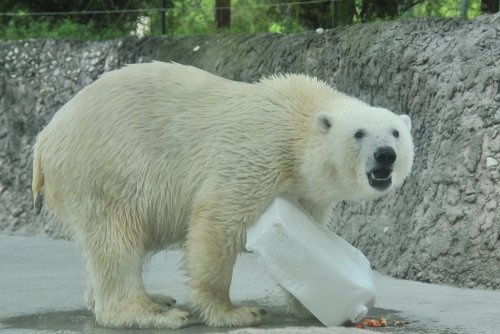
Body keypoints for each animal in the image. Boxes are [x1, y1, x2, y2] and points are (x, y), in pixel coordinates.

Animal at [32, 62, 414, 328]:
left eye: (395, 132)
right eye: (359, 133)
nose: (385, 155)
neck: (297, 121)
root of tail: (45, 138)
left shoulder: (308, 191)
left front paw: (311, 301)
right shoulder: (258, 150)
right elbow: (219, 221)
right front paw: (235, 312)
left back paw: (155, 299)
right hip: (108, 166)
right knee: (117, 238)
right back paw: (151, 312)